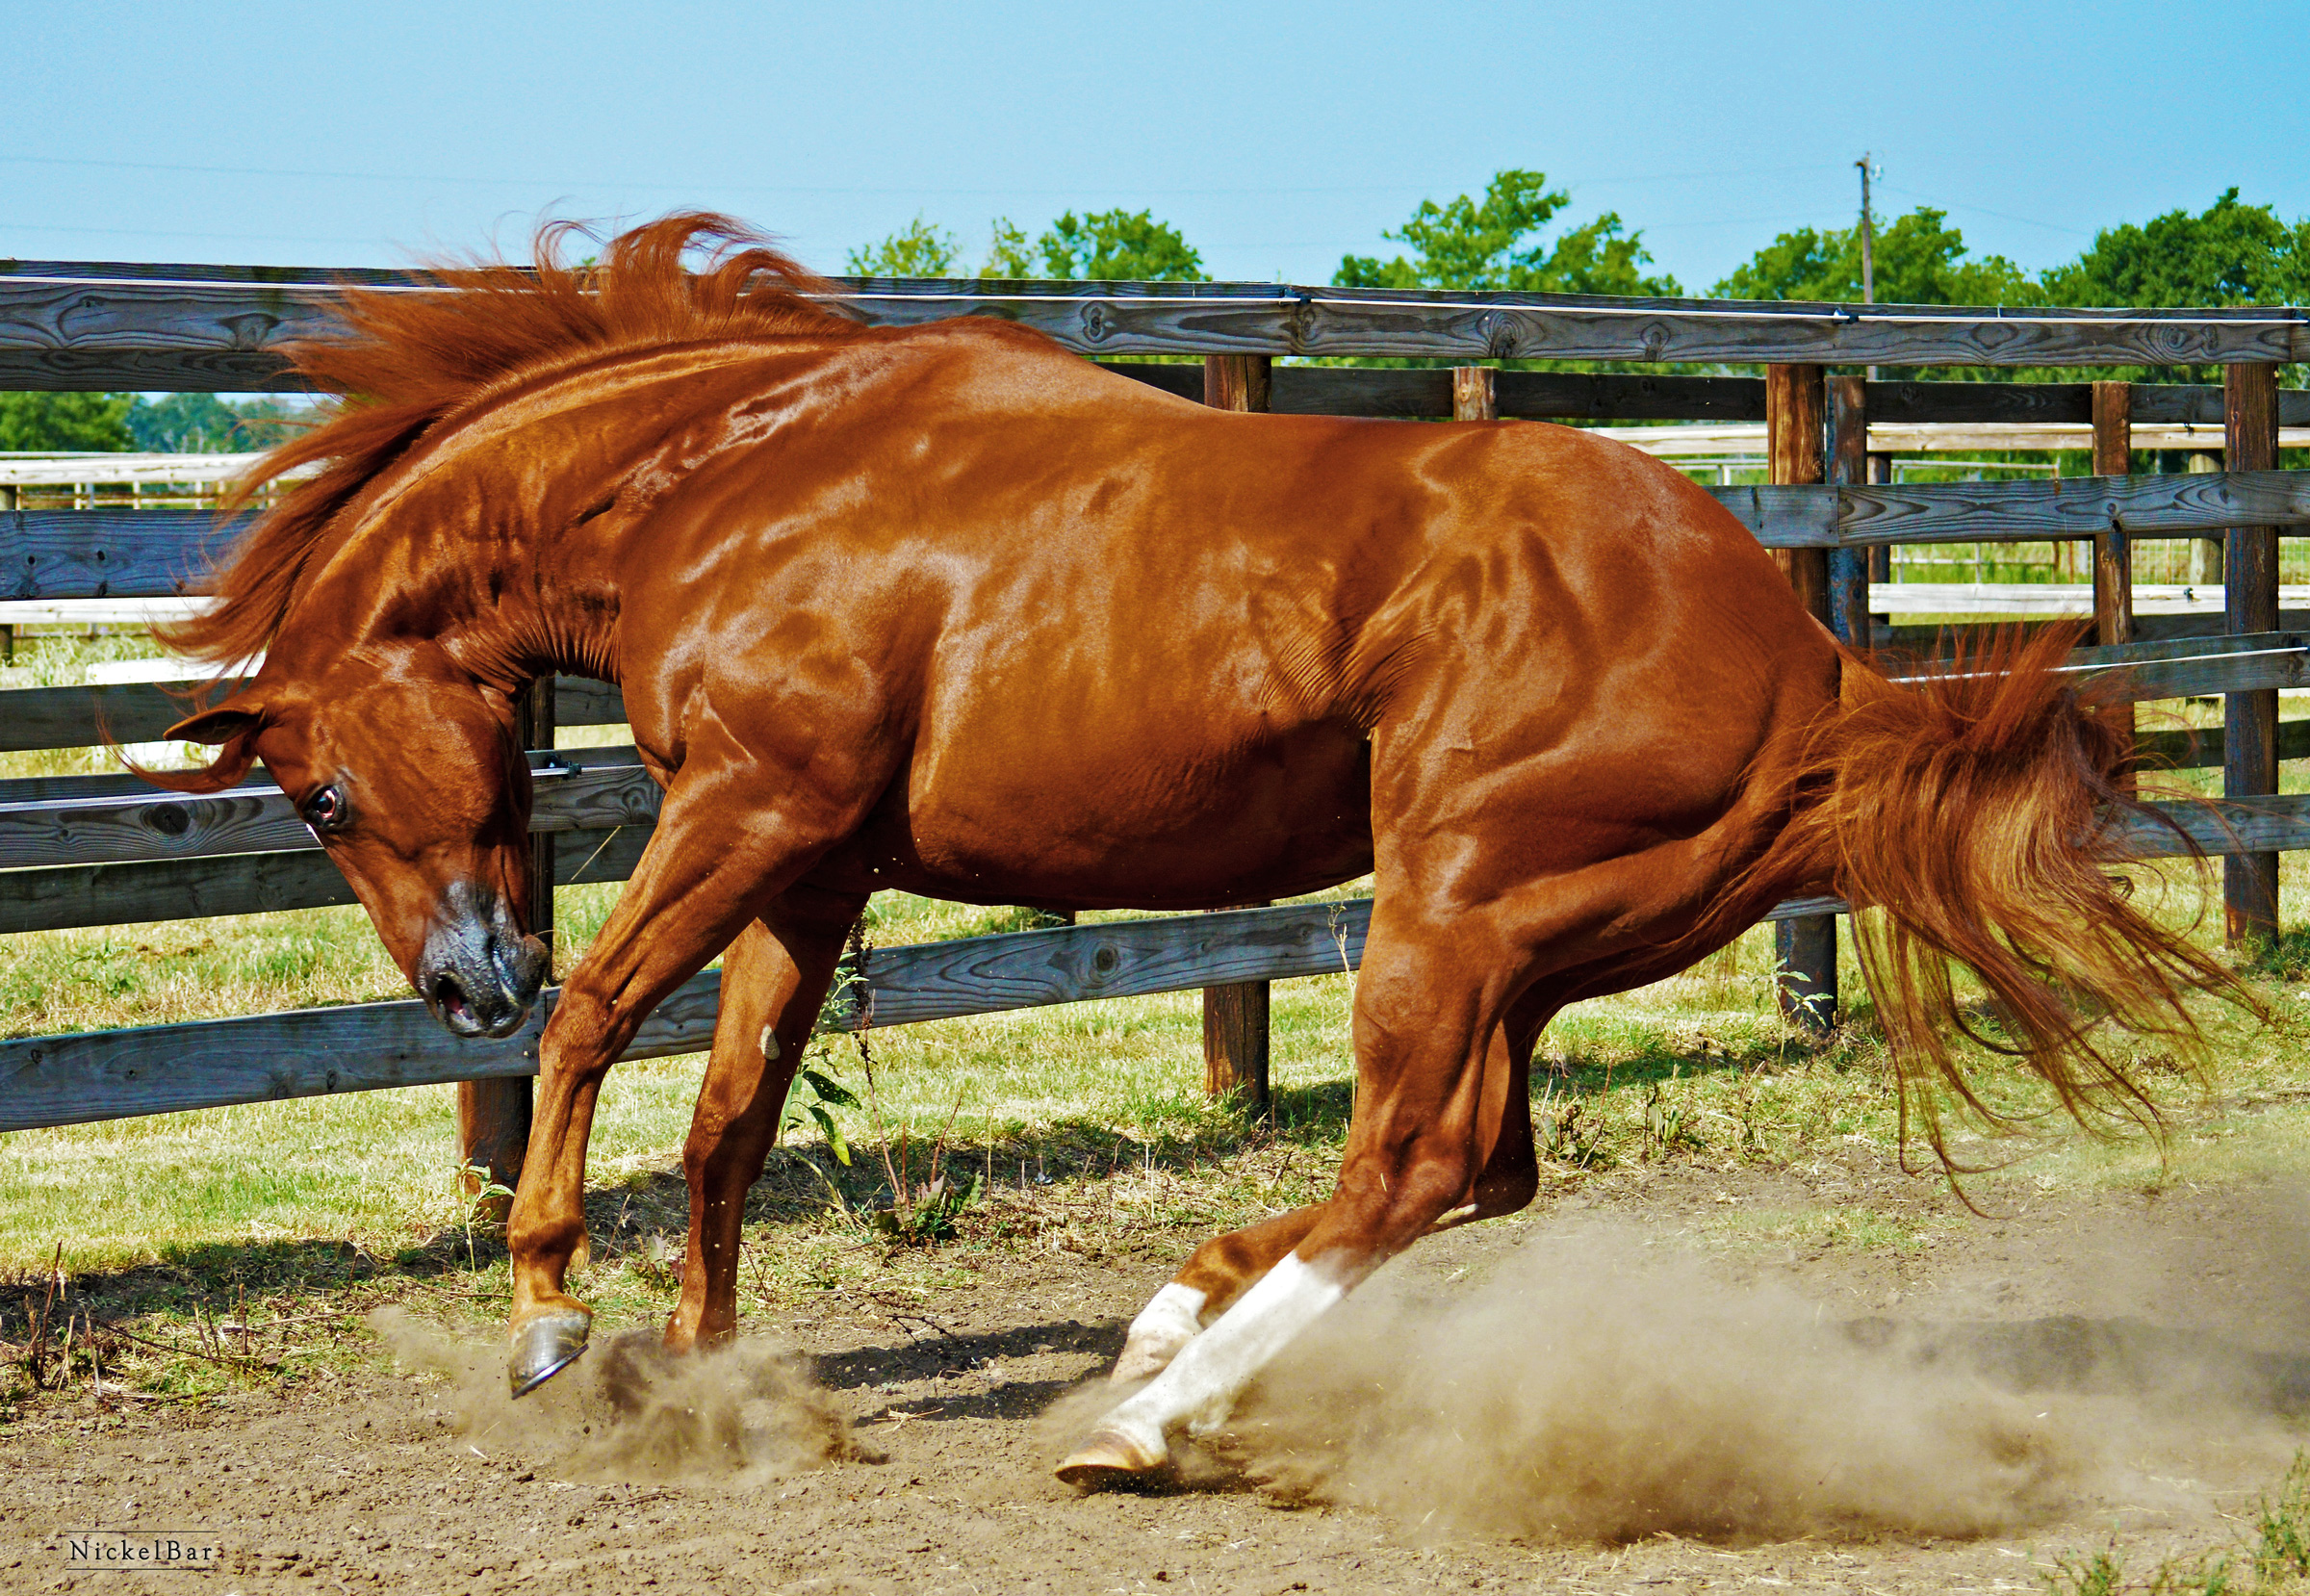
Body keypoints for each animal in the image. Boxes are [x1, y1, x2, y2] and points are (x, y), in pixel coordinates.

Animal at [148, 216, 2236, 1487]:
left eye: (323, 801)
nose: (456, 982)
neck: (741, 469)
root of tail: (1805, 657)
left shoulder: (753, 805)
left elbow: (597, 1018)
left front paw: (552, 1314)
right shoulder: (812, 865)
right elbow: (733, 1112)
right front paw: (716, 1375)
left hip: (1455, 904)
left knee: (1414, 1165)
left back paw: (1153, 1416)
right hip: (1535, 942)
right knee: (1473, 1167)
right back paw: (1166, 1335)